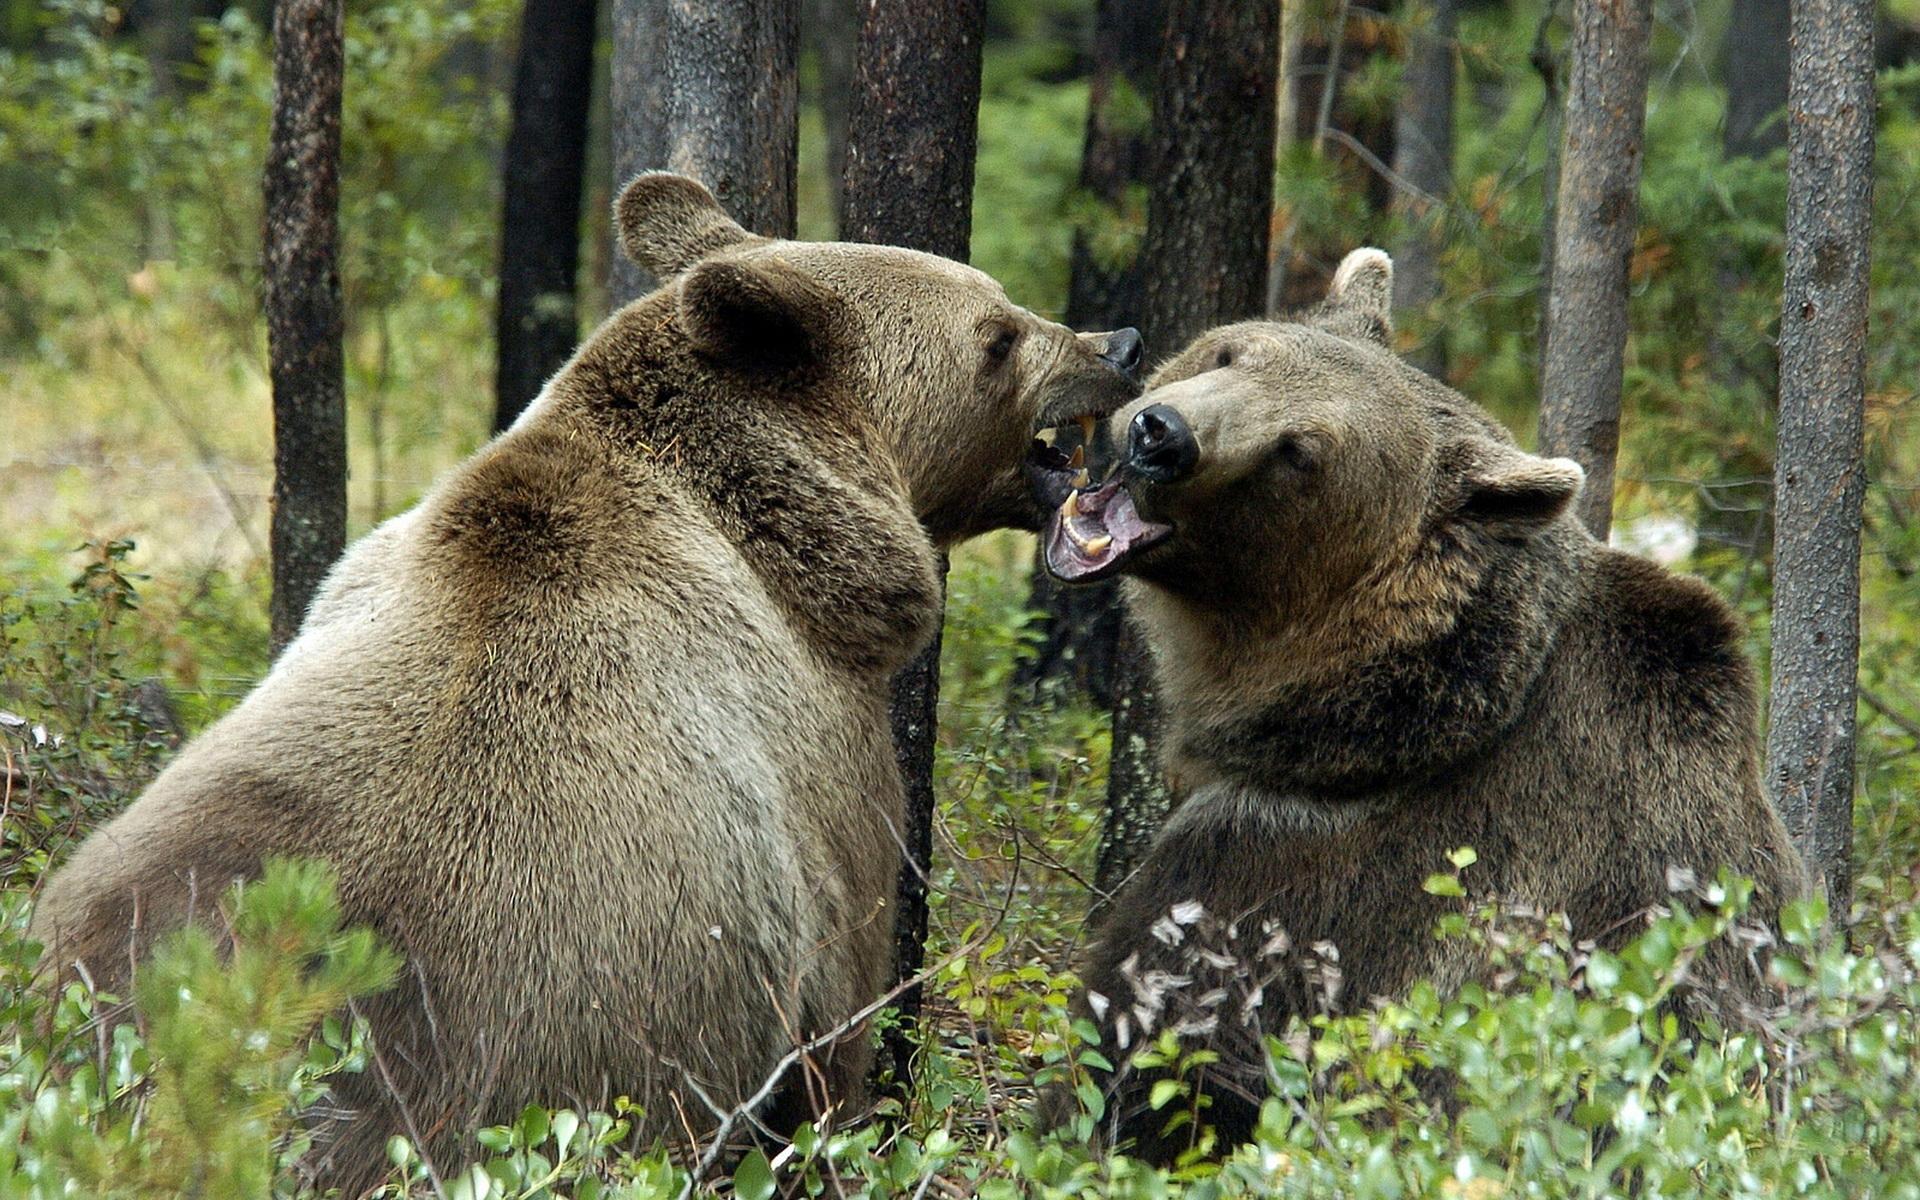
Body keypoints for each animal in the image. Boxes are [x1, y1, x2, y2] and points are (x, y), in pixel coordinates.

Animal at [26, 168, 1136, 1190]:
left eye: (1004, 304)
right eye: (997, 333)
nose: (1117, 344)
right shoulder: (823, 781)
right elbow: (842, 1019)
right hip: (513, 1049)